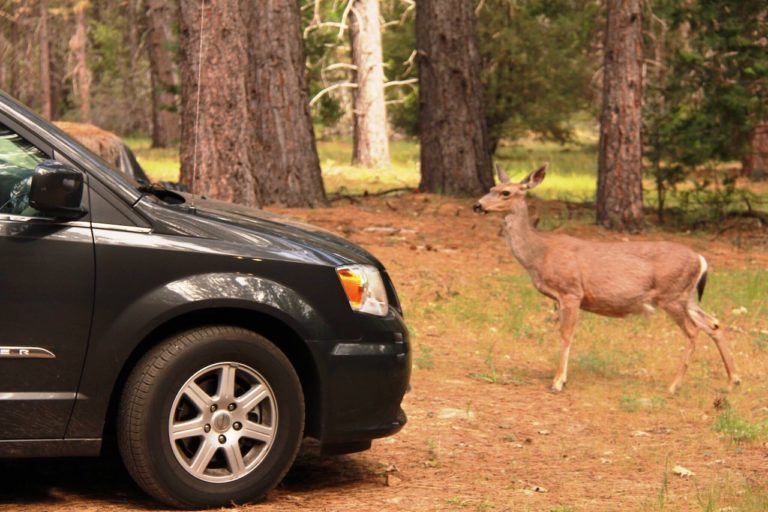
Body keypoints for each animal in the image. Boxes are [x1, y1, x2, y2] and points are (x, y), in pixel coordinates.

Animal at [472, 163, 741, 394]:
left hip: (672, 295)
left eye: (505, 192)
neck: (539, 254)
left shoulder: (571, 292)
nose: (477, 205)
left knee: (693, 331)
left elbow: (566, 335)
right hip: (688, 296)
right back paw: (733, 381)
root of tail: (701, 259)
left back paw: (674, 386)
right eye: (491, 188)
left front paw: (558, 382)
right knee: (714, 324)